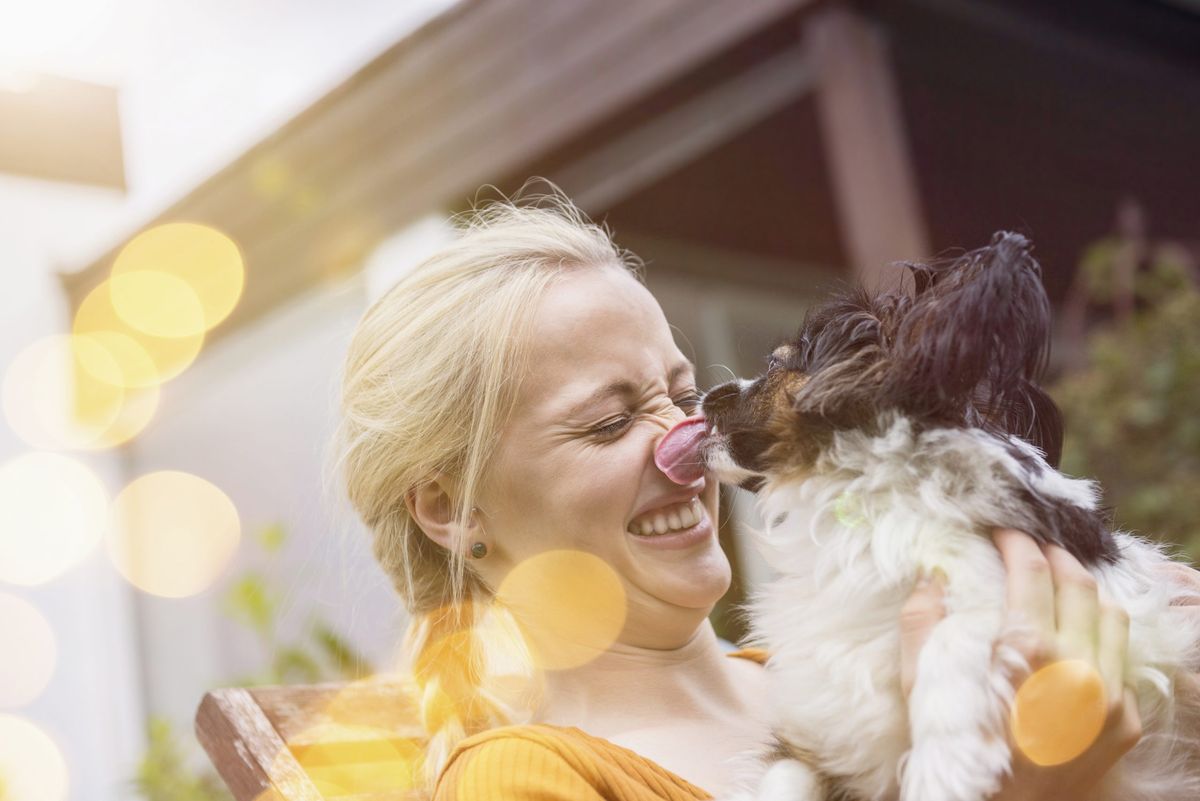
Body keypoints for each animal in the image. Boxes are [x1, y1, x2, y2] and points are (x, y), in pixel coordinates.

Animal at [662, 231, 1200, 801]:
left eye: (770, 365)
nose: (703, 396)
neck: (856, 498)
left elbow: (953, 636)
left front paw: (943, 764)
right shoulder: (820, 742)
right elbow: (782, 777)